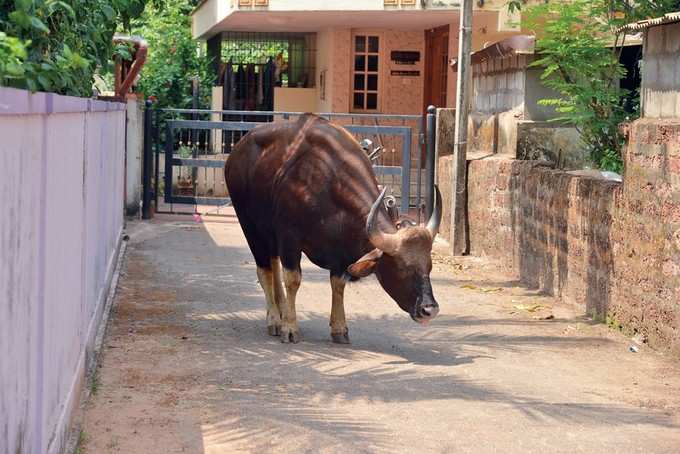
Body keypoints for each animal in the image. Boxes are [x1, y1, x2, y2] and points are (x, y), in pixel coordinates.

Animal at [226, 114, 444, 344]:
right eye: (403, 268)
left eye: (429, 267)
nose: (429, 310)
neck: (328, 182)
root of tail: (238, 150)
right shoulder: (289, 238)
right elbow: (293, 280)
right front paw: (290, 327)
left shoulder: (341, 249)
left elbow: (338, 284)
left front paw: (339, 328)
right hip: (250, 226)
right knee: (265, 271)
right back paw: (275, 319)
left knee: (273, 265)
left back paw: (282, 310)